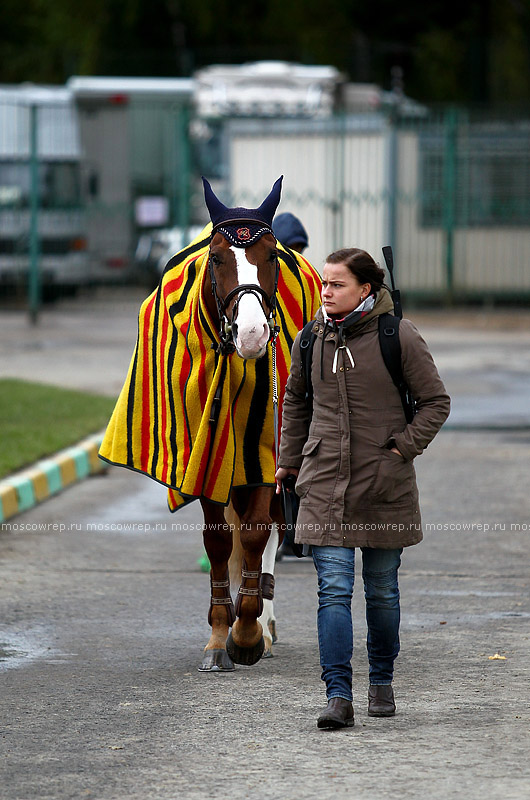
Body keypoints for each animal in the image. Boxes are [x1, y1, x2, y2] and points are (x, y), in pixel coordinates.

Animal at [99, 175, 322, 668]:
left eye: (272, 256)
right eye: (217, 258)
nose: (254, 334)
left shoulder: (265, 452)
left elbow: (256, 534)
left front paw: (248, 631)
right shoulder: (204, 455)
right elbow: (219, 540)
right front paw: (221, 635)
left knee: (270, 528)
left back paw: (265, 623)